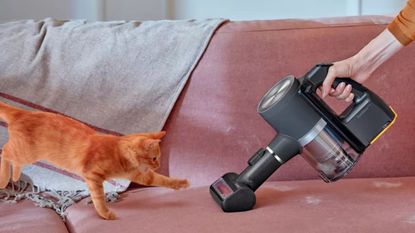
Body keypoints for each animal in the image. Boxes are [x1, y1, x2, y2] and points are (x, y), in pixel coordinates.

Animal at [0, 101, 190, 219]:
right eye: (154, 158)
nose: (158, 164)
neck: (118, 153)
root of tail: (23, 112)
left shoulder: (141, 175)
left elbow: (161, 180)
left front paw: (180, 183)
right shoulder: (93, 176)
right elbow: (99, 198)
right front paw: (105, 214)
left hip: (24, 154)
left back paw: (15, 177)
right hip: (26, 152)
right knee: (4, 151)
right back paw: (4, 180)